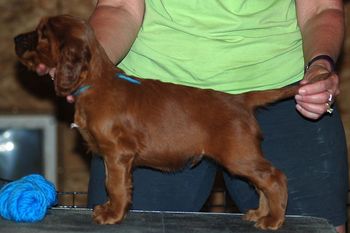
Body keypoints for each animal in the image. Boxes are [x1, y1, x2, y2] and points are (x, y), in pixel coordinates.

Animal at [14, 15, 298, 231]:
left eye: (42, 34)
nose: (16, 39)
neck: (95, 81)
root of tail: (240, 99)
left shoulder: (118, 153)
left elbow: (114, 185)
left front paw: (112, 215)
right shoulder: (111, 157)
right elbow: (113, 183)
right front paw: (109, 209)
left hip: (238, 155)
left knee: (275, 177)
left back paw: (274, 219)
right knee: (262, 182)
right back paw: (261, 214)